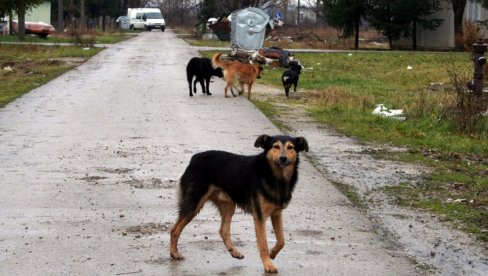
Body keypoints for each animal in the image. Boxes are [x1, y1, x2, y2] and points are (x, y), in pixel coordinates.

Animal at [170, 134, 308, 274]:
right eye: (276, 146)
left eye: (291, 147)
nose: (283, 158)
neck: (274, 176)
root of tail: (194, 159)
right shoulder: (259, 215)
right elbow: (263, 243)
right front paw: (268, 264)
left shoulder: (276, 214)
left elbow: (281, 240)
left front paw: (272, 254)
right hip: (194, 204)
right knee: (174, 229)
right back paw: (174, 253)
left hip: (228, 206)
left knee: (223, 230)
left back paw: (235, 253)